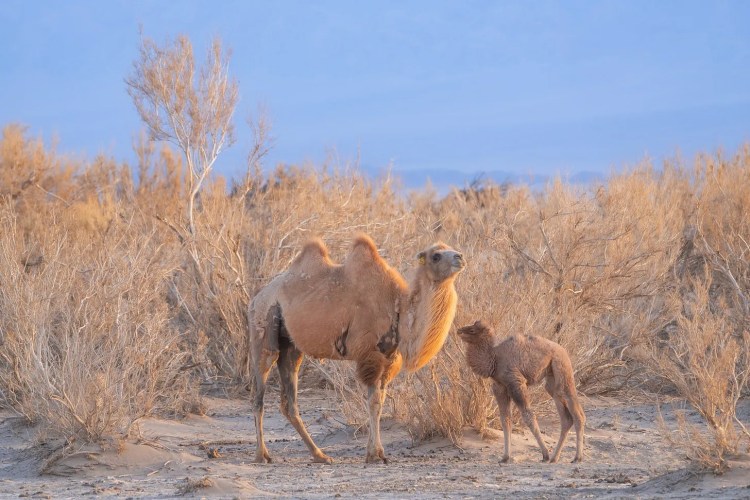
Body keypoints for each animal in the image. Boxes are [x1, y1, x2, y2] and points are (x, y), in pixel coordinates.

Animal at [248, 233, 465, 464]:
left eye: (450, 249)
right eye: (436, 255)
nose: (460, 257)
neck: (398, 309)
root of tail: (257, 297)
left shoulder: (388, 360)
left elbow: (380, 402)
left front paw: (375, 452)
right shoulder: (371, 356)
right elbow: (374, 402)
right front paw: (375, 454)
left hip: (291, 346)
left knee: (289, 400)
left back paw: (320, 455)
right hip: (263, 325)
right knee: (259, 393)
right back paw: (262, 455)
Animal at [457, 320, 585, 463]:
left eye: (472, 330)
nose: (459, 331)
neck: (495, 358)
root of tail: (563, 350)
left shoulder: (516, 383)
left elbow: (528, 417)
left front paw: (545, 454)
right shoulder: (500, 387)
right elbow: (505, 420)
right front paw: (505, 457)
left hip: (562, 367)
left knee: (576, 411)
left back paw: (577, 457)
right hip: (552, 380)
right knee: (565, 417)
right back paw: (555, 458)